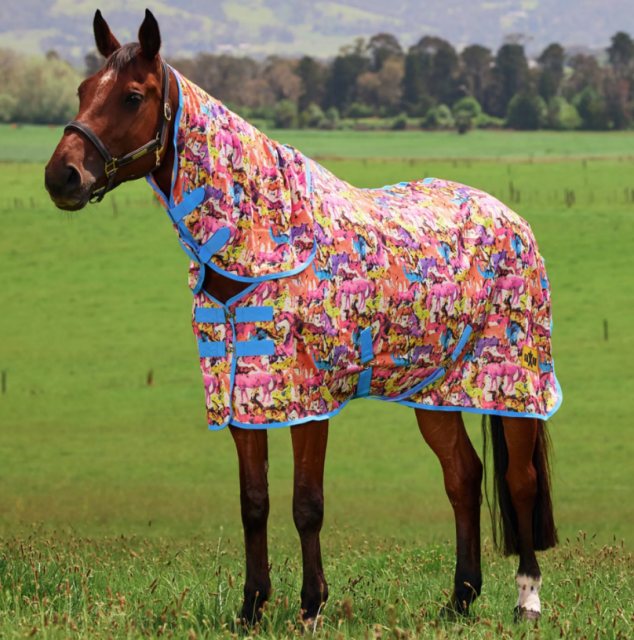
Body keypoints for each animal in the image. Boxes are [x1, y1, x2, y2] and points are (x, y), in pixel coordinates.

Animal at [45, 10, 560, 625]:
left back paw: (527, 599)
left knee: (520, 480)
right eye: (82, 90)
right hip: (434, 391)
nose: (62, 177)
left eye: (132, 95)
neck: (263, 242)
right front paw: (251, 607)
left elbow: (306, 503)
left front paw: (311, 605)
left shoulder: (308, 400)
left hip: (514, 384)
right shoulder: (241, 394)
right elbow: (254, 502)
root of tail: (512, 218)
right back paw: (460, 598)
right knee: (463, 476)